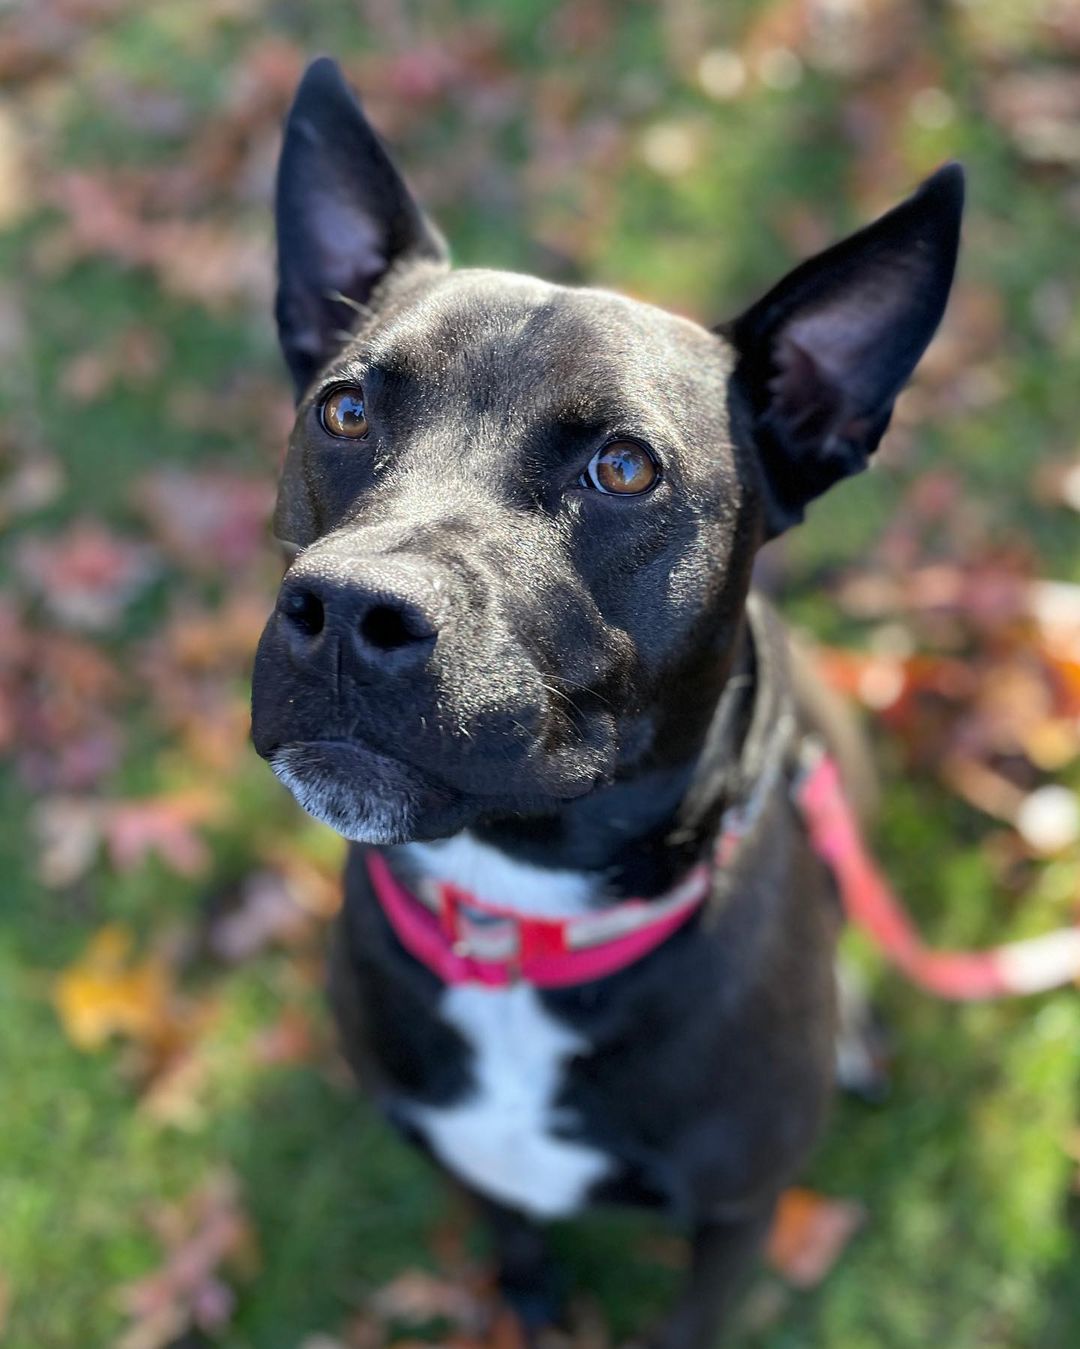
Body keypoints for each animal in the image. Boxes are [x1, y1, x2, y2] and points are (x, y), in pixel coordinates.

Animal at [253, 58, 960, 1343]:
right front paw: (534, 1300)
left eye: (624, 469)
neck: (517, 920)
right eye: (344, 409)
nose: (349, 608)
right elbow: (514, 1236)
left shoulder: (737, 1213)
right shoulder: (463, 1155)